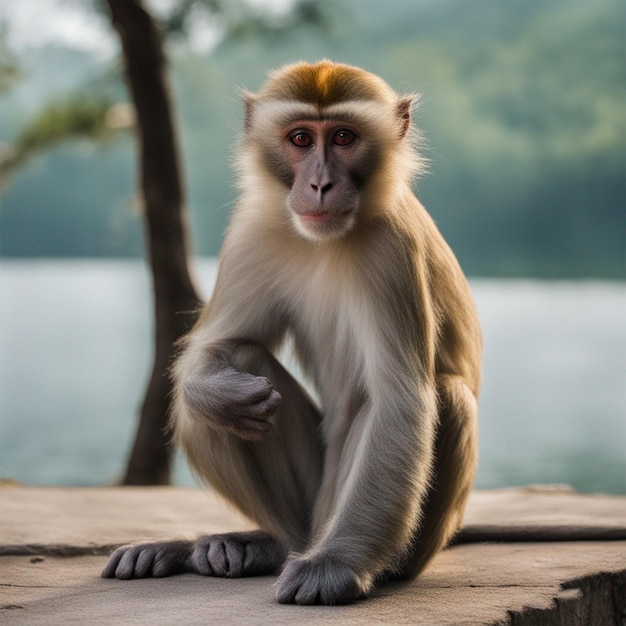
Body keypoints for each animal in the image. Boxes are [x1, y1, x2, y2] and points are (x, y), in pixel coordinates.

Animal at [102, 61, 480, 604]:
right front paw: (215, 393)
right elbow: (215, 350)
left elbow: (400, 401)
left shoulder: (393, 247)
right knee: (237, 369)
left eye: (343, 137)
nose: (319, 184)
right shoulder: (254, 230)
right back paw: (254, 545)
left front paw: (335, 567)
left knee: (447, 395)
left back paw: (363, 562)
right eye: (300, 138)